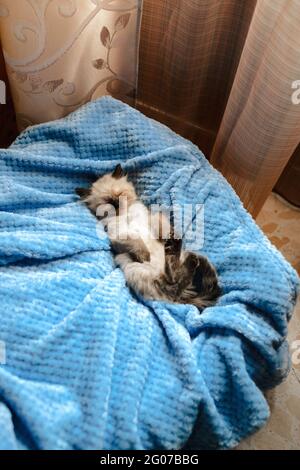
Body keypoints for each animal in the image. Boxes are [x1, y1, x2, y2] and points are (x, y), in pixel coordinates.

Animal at [75, 164, 220, 308]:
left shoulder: (150, 218)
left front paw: (165, 237)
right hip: (132, 267)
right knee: (173, 281)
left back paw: (174, 245)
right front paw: (146, 255)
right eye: (108, 202)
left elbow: (160, 222)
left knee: (176, 272)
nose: (116, 203)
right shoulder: (119, 234)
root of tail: (183, 298)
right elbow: (138, 242)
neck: (125, 214)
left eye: (120, 195)